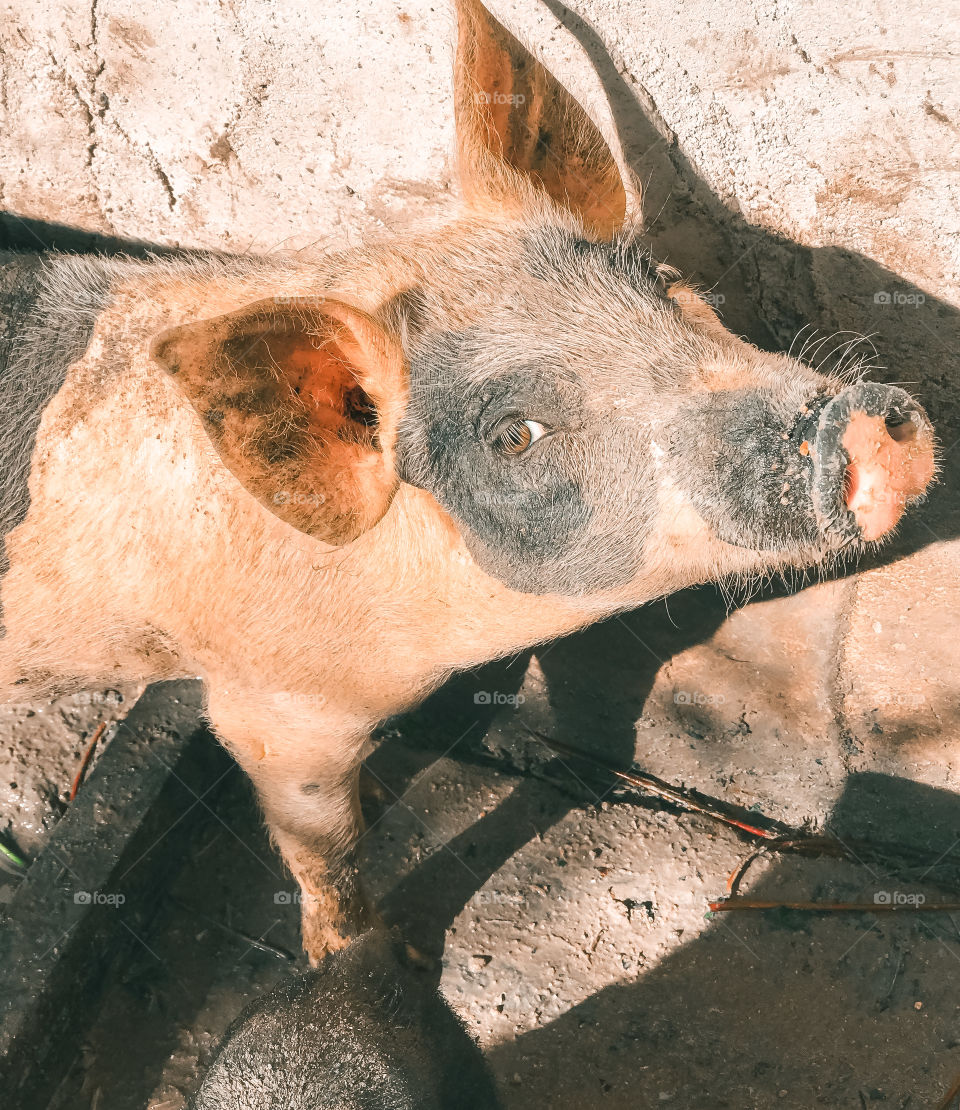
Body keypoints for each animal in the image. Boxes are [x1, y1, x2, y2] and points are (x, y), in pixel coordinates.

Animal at [0, 0, 936, 960]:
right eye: (515, 434)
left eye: (672, 290)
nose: (858, 416)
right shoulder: (268, 708)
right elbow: (322, 845)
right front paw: (376, 953)